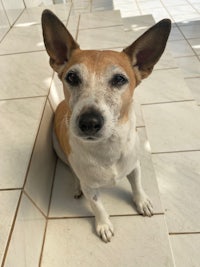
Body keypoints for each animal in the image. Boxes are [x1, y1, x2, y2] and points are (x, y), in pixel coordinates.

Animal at [41, 10, 171, 244]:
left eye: (119, 79)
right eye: (72, 76)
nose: (89, 122)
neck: (107, 147)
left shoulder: (134, 165)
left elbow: (137, 184)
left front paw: (142, 201)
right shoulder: (91, 187)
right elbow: (97, 206)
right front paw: (103, 225)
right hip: (58, 149)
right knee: (72, 171)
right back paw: (76, 186)